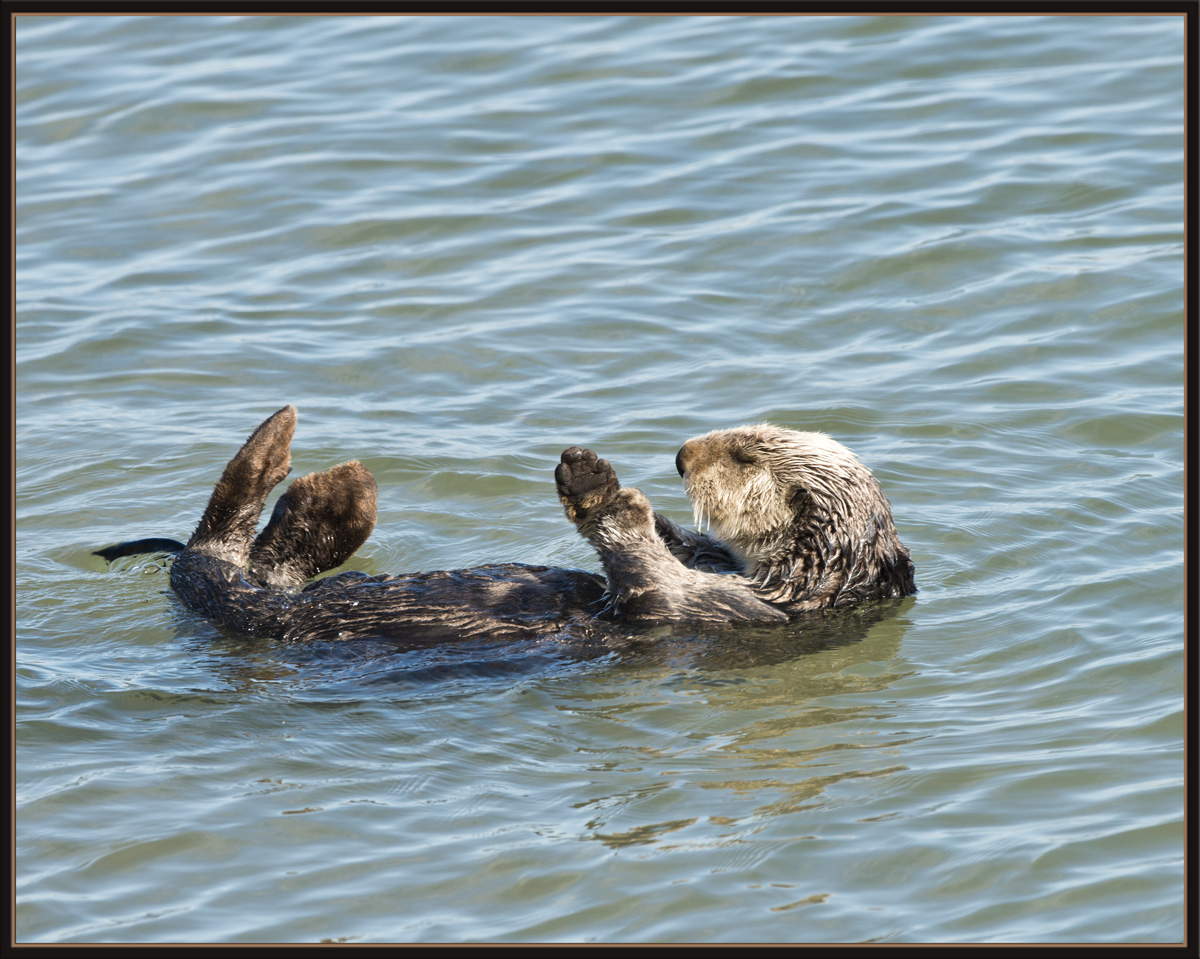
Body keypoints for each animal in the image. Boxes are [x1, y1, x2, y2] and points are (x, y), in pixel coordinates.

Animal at [95, 406, 914, 643]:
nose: (682, 455)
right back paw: (332, 490)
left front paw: (597, 486)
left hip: (256, 604)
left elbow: (646, 574)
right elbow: (679, 549)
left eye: (745, 453)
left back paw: (309, 476)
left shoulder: (713, 608)